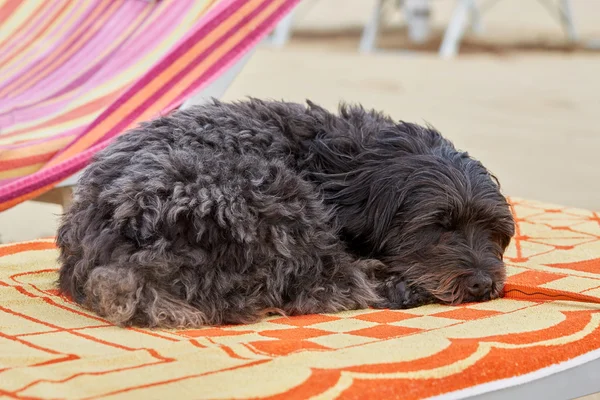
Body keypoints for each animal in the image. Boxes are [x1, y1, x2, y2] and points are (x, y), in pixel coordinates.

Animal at [57, 98, 516, 326]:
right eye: (438, 227)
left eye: (494, 232)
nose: (482, 283)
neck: (348, 163)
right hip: (271, 196)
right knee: (320, 285)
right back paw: (399, 289)